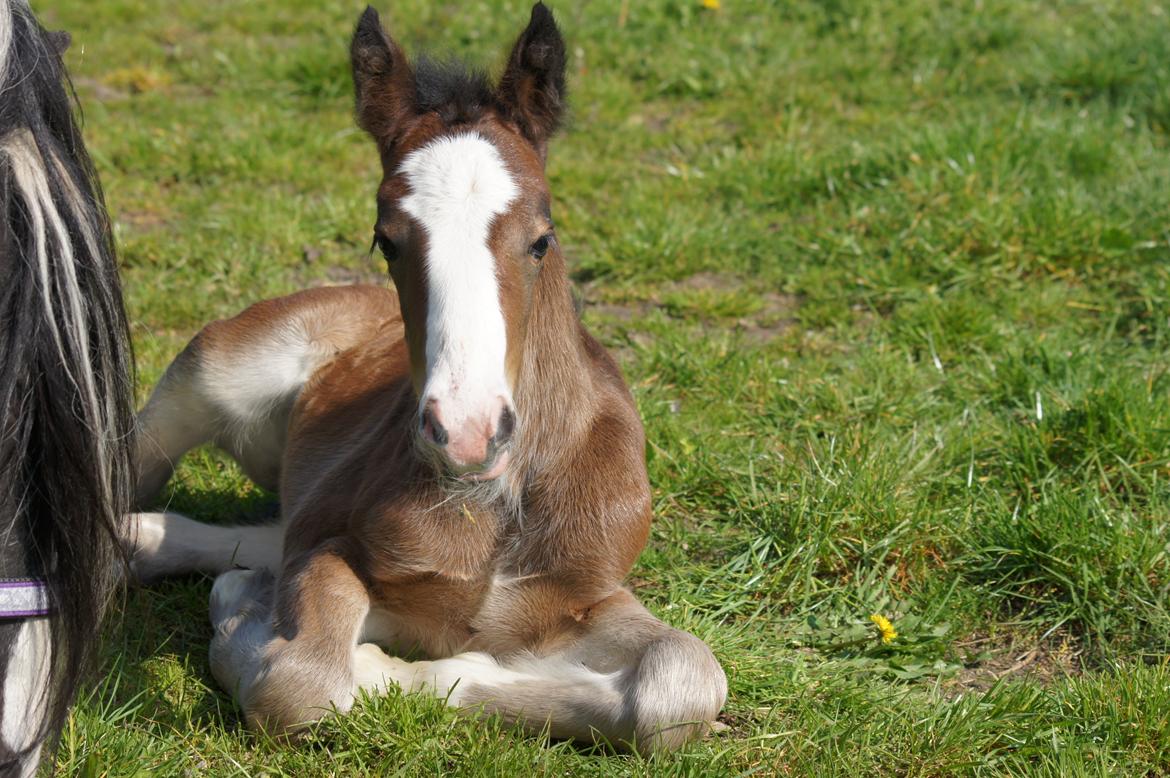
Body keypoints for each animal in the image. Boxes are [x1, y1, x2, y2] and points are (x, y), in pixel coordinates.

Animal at [132, 3, 725, 748]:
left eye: (542, 238)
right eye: (386, 238)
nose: (468, 433)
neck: (492, 505)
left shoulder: (582, 597)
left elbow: (681, 682)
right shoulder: (329, 545)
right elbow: (302, 682)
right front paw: (257, 622)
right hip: (217, 367)